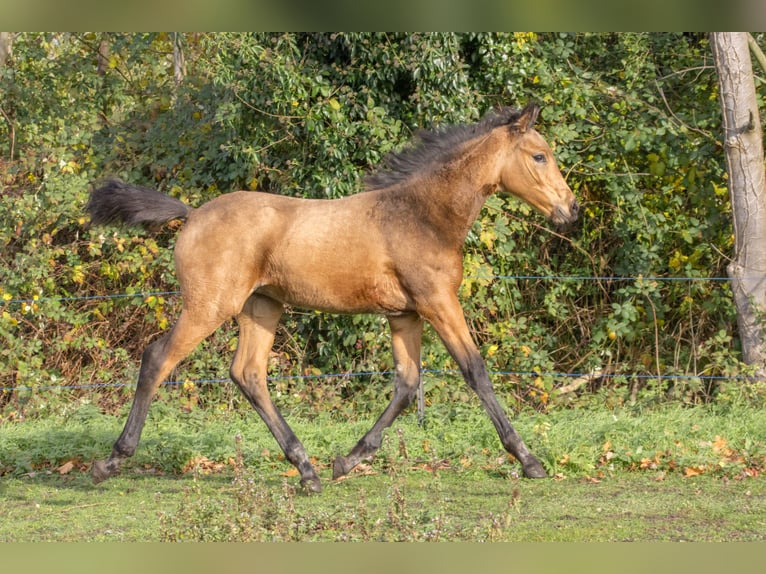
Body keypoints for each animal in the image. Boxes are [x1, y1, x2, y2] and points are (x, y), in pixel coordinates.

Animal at [86, 103, 579, 493]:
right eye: (539, 155)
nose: (570, 209)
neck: (421, 215)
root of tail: (191, 214)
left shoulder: (405, 315)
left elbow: (407, 384)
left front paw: (347, 460)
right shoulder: (438, 303)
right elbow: (476, 372)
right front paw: (530, 461)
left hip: (262, 307)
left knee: (249, 374)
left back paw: (307, 470)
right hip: (209, 307)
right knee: (158, 359)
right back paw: (110, 461)